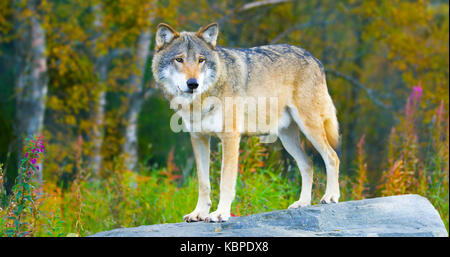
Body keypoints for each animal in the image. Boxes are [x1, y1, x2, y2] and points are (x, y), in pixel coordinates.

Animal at [152, 23, 342, 221]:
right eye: (179, 59)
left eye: (201, 60)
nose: (193, 83)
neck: (202, 100)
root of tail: (314, 59)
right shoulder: (199, 138)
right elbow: (204, 183)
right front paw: (199, 213)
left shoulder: (230, 137)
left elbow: (225, 181)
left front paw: (220, 213)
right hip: (287, 138)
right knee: (308, 164)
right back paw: (302, 203)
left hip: (309, 127)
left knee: (332, 157)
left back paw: (331, 196)